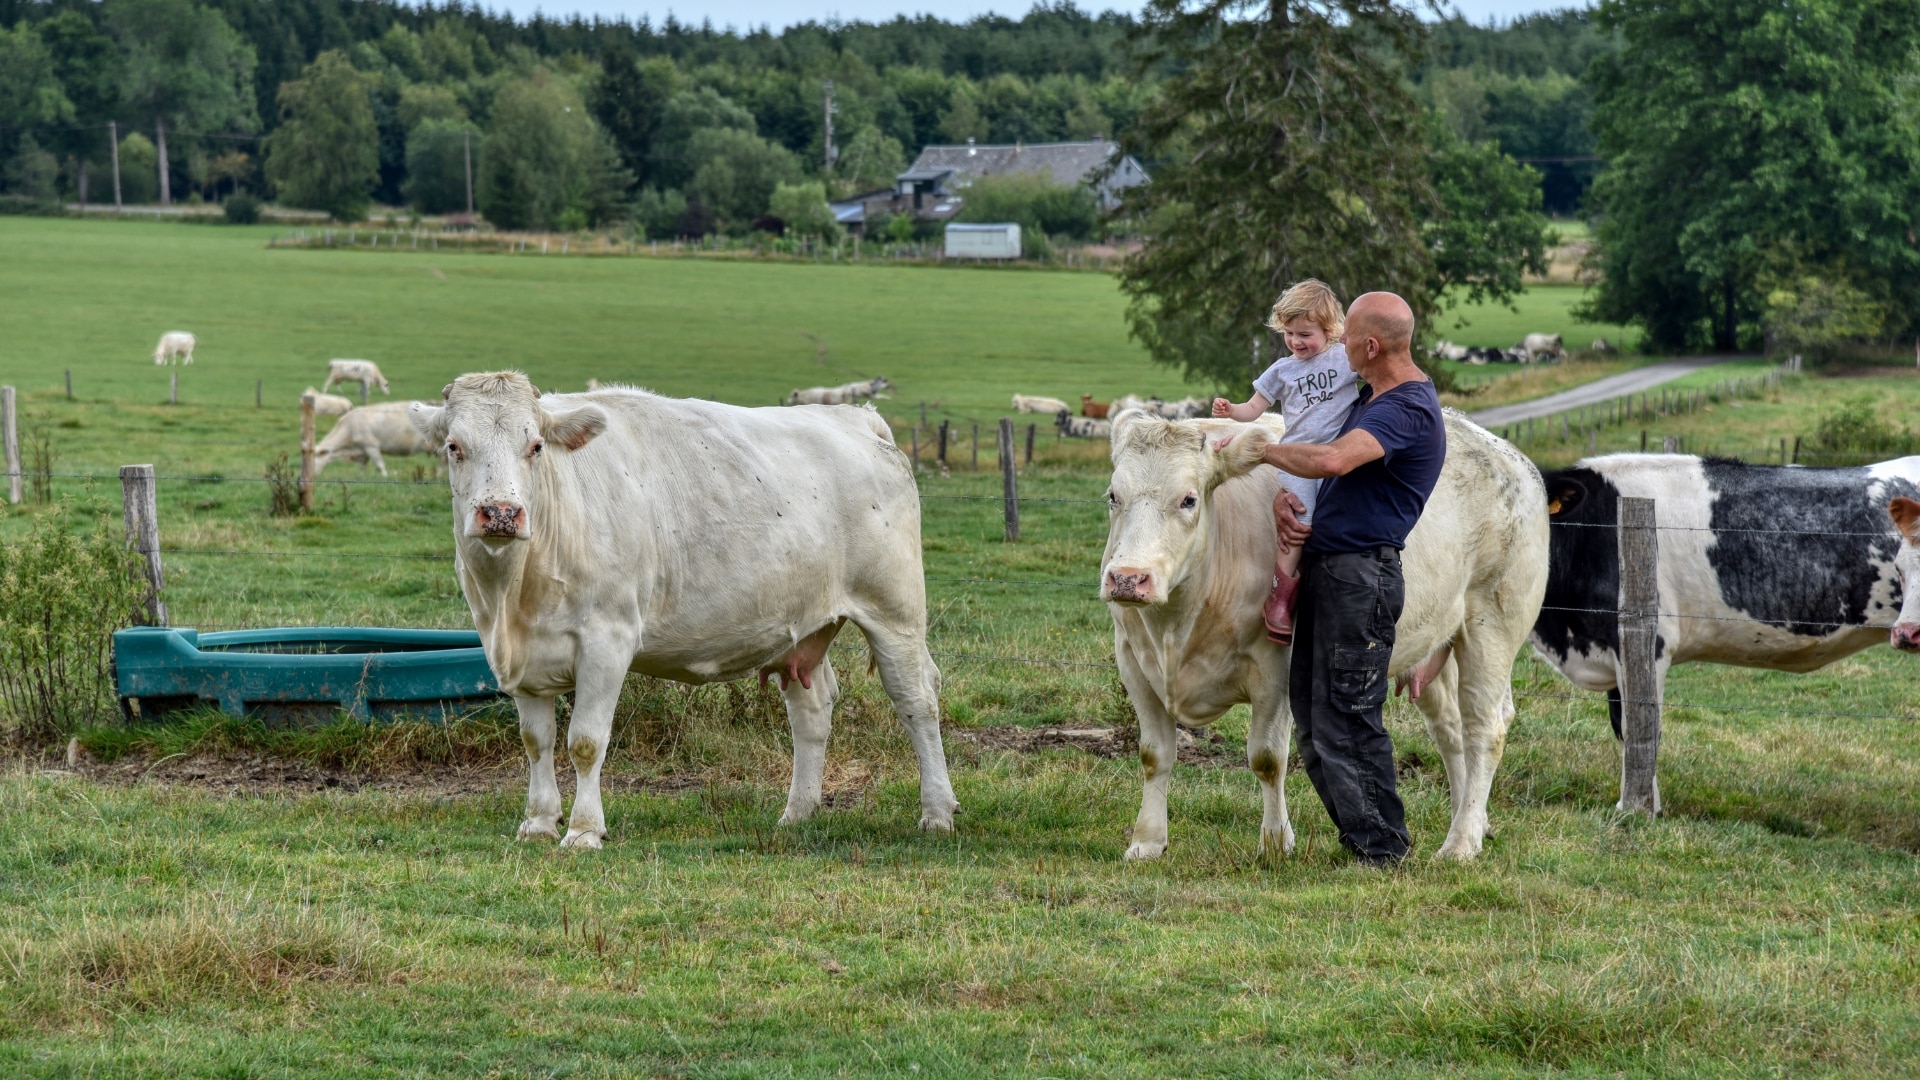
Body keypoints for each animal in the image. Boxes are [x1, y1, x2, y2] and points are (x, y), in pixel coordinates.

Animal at [408, 374, 956, 845]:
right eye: (453, 446)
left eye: (536, 446)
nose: (501, 513)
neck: (515, 596)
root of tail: (855, 418)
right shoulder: (518, 657)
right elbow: (535, 740)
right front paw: (539, 822)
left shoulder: (608, 640)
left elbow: (585, 741)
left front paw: (583, 830)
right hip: (803, 627)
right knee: (812, 711)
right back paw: (797, 813)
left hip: (894, 611)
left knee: (917, 700)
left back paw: (937, 812)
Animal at [1105, 405, 1551, 857]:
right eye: (1113, 496)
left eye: (1188, 499)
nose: (1128, 578)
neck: (1177, 627)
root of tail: (1510, 456)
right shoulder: (1133, 662)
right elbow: (1154, 756)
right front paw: (1146, 842)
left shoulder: (1276, 668)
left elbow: (1267, 759)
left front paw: (1275, 843)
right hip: (1436, 639)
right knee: (1450, 729)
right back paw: (1473, 821)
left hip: (1492, 626)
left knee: (1484, 729)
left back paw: (1460, 843)